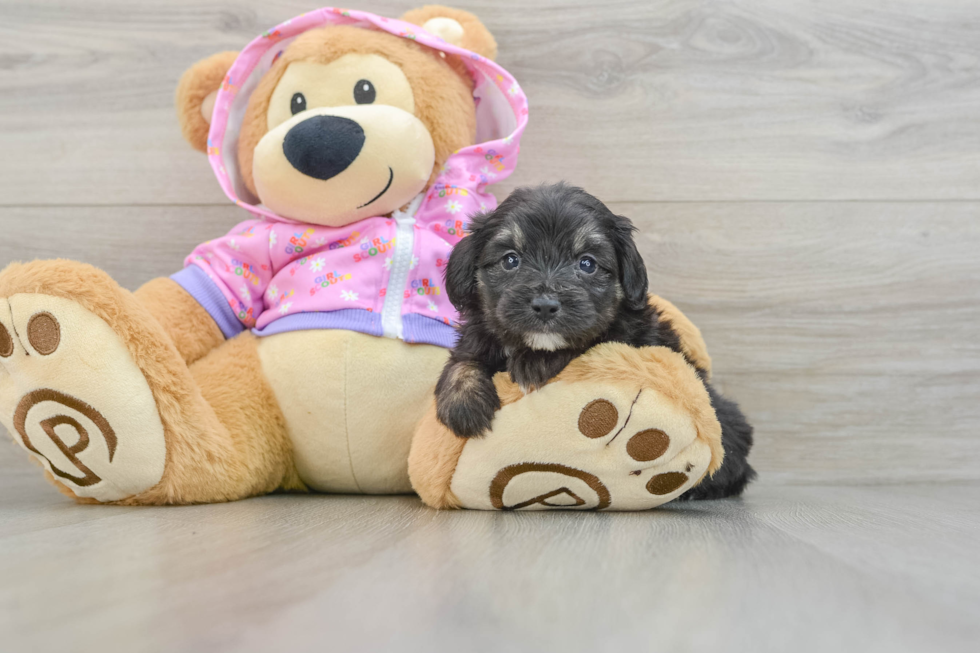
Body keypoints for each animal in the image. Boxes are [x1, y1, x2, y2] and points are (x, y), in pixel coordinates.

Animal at [432, 183, 756, 500]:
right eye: (511, 259)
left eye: (587, 263)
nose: (546, 305)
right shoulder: (478, 337)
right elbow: (462, 361)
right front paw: (463, 405)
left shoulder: (627, 337)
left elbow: (586, 343)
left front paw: (535, 362)